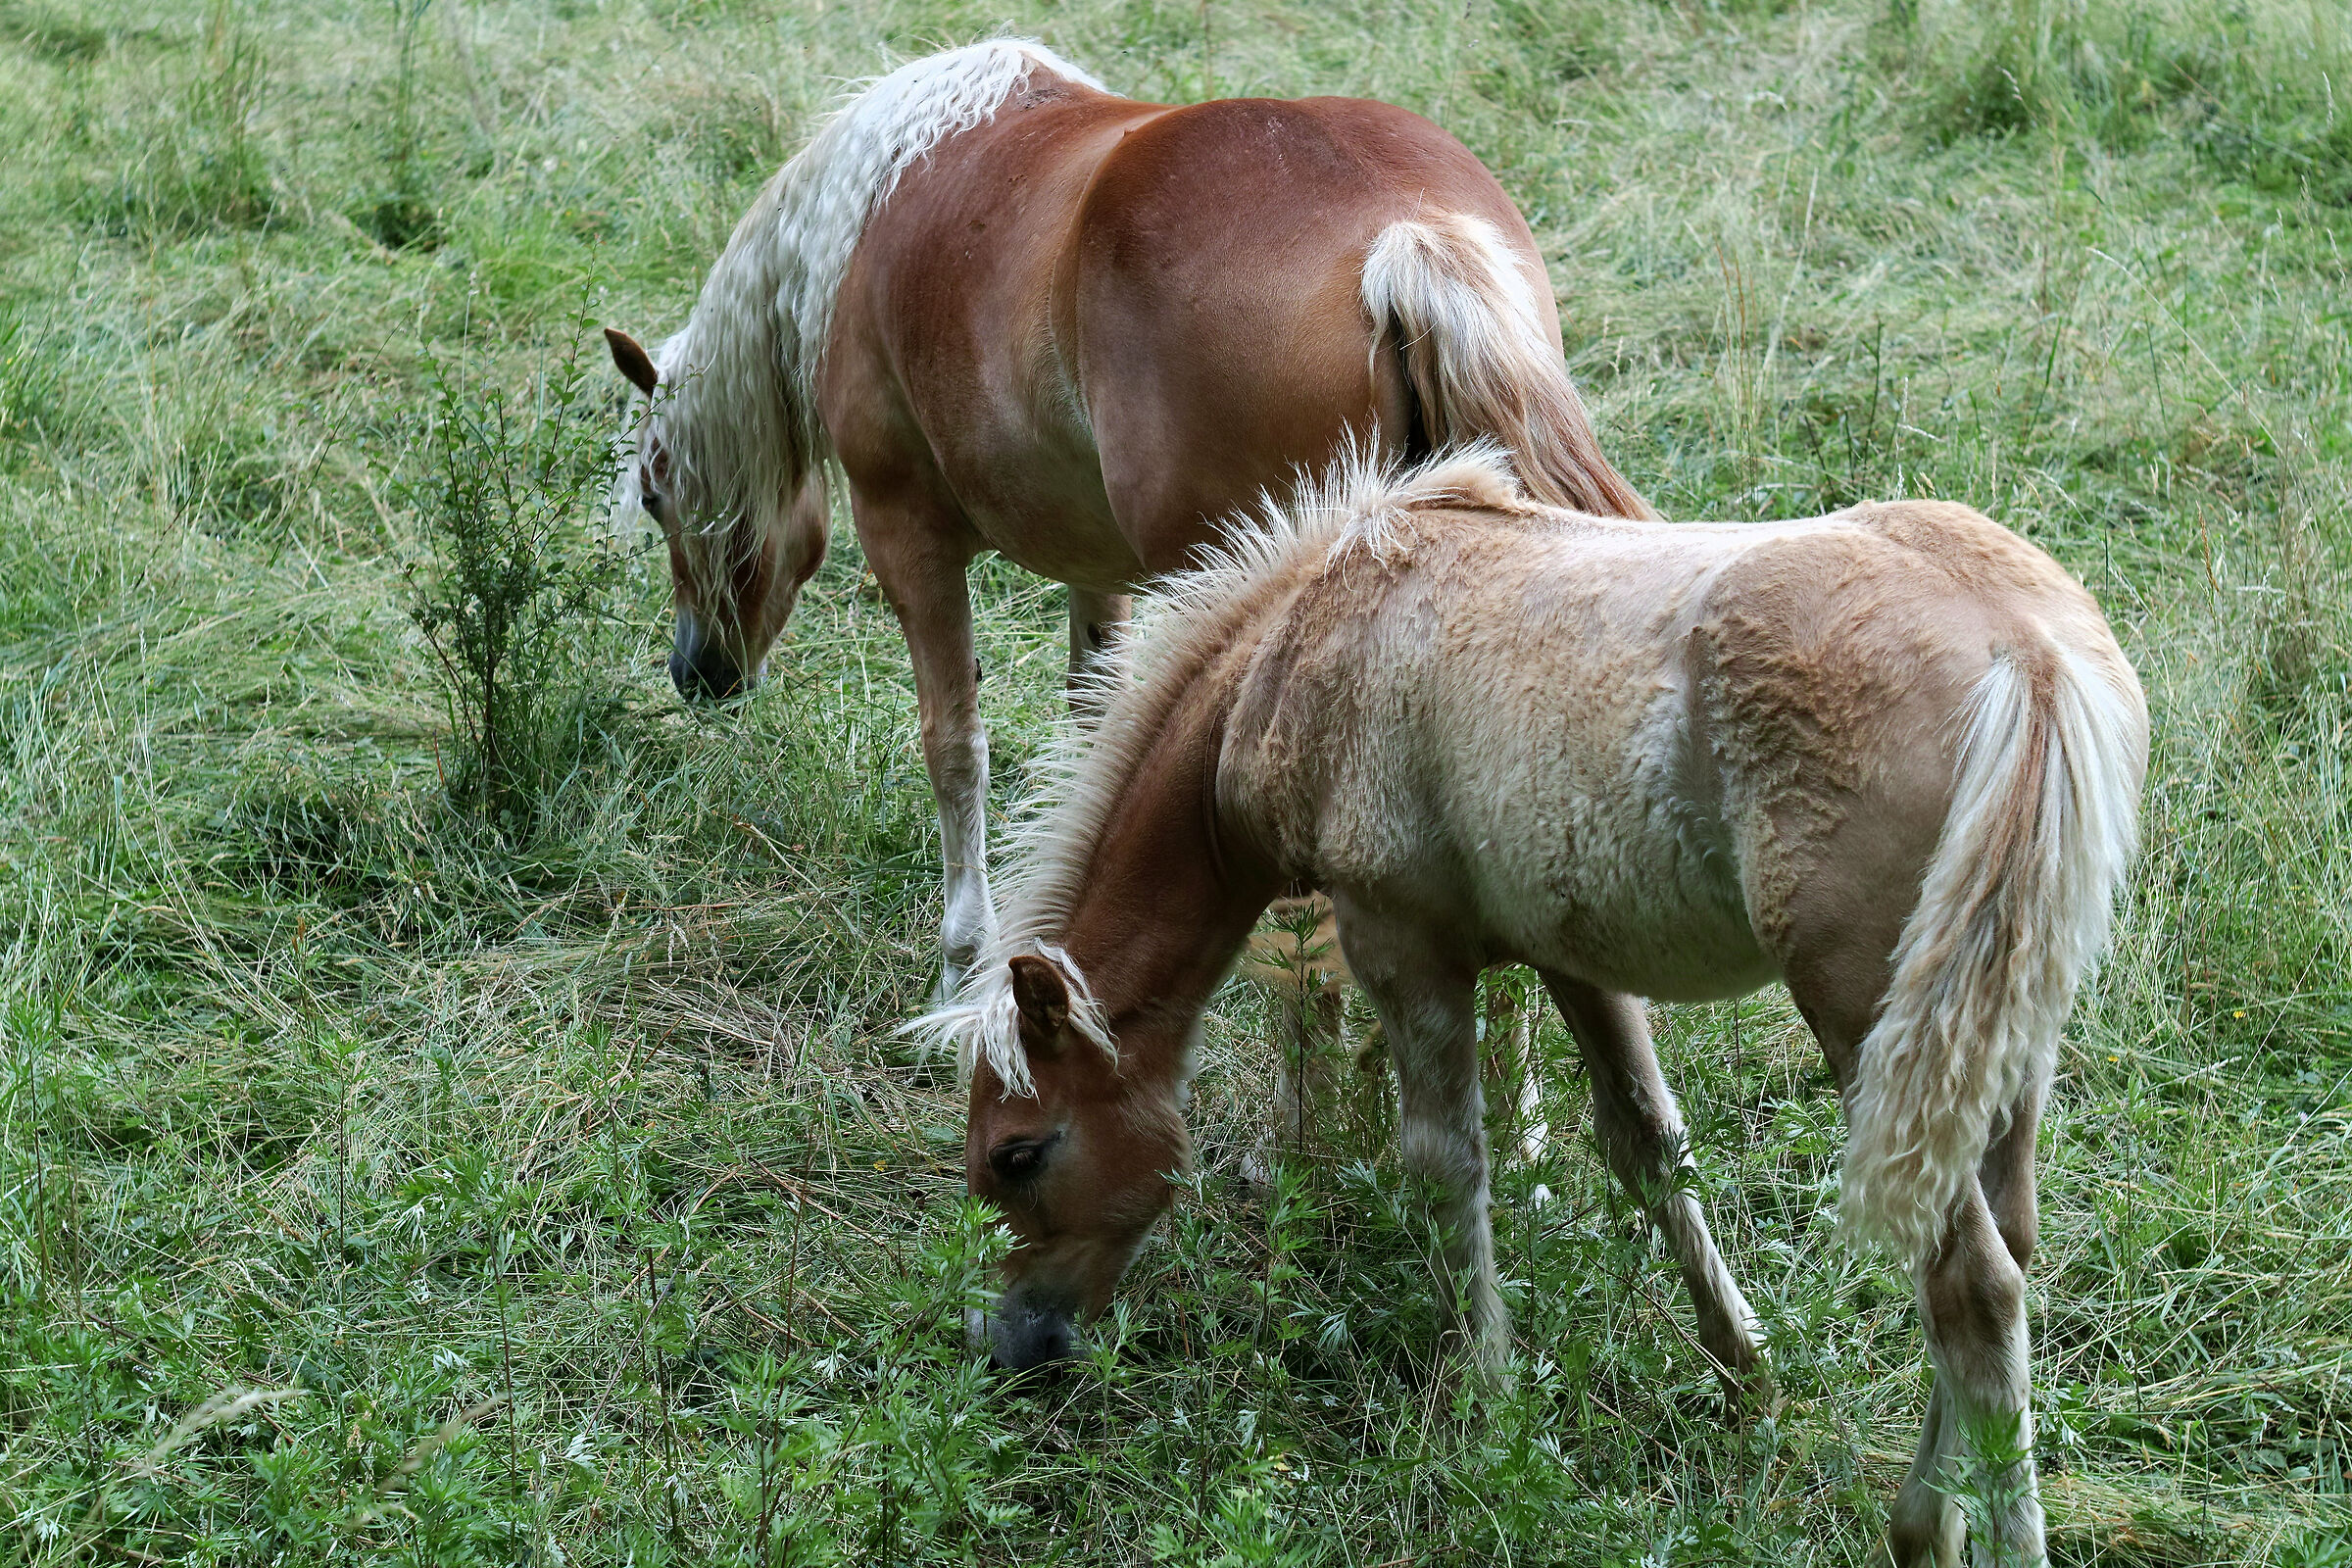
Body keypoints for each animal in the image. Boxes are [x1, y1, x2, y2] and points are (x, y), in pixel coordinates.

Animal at [601, 38, 1649, 999]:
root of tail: (1403, 234)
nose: (695, 671)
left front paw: (963, 963)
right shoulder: (1096, 568)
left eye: (656, 494)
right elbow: (1092, 731)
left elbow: (955, 745)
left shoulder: (909, 538)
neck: (877, 204)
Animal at [917, 450, 2146, 1567]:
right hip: (1998, 1031)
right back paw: (1924, 1520)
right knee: (2008, 1245)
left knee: (1972, 1284)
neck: (1303, 647)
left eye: (1017, 1155)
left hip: (1870, 1023)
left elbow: (1446, 1163)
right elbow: (1647, 1145)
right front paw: (1741, 1370)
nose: (1004, 1345)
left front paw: (1487, 1407)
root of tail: (2029, 652)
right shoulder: (1569, 951)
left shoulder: (1400, 938)